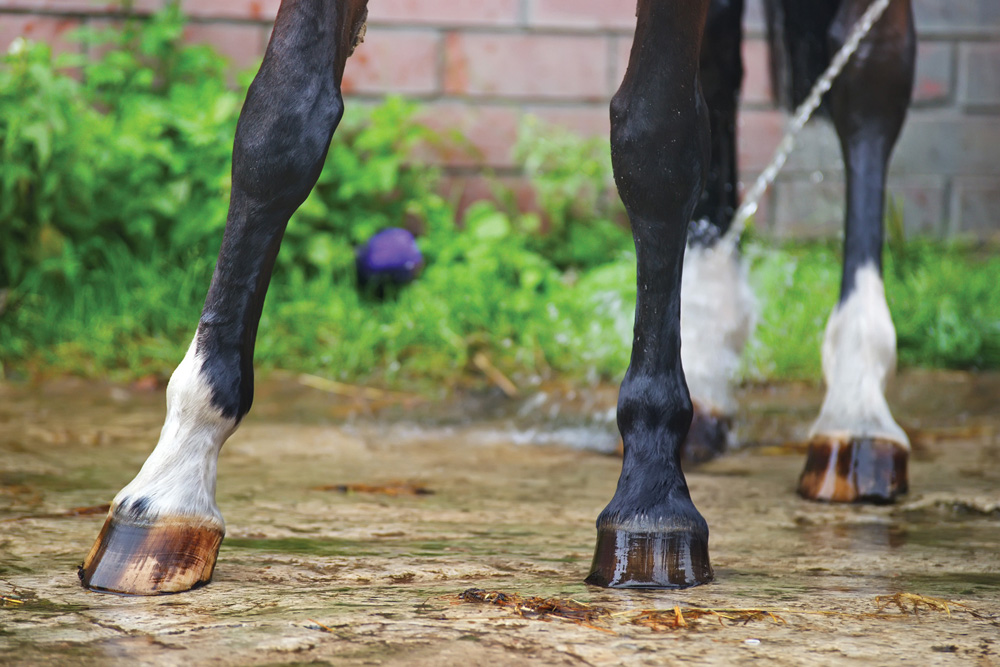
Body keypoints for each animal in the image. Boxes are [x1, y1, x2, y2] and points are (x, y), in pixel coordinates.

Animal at [79, 0, 916, 595]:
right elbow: (281, 121)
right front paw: (172, 478)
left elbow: (656, 136)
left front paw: (650, 493)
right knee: (722, 71)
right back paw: (710, 375)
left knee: (871, 75)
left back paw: (856, 406)